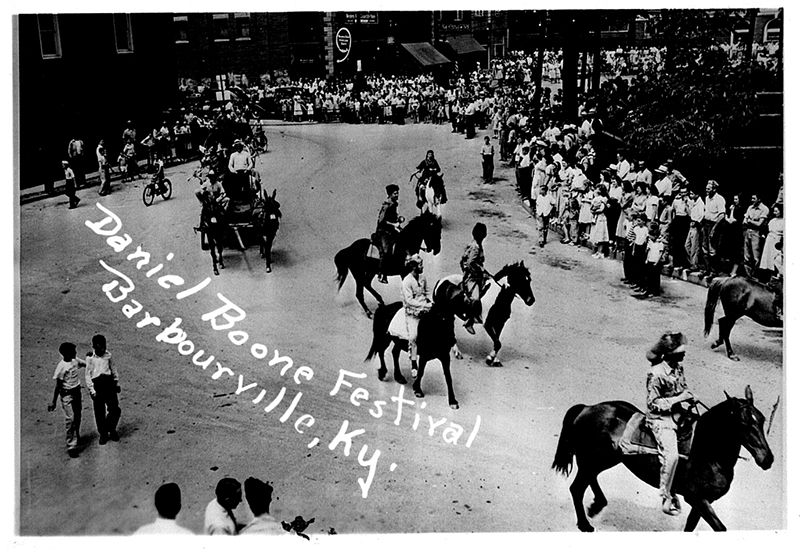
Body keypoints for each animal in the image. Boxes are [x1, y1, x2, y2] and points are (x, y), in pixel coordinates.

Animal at [552, 386, 772, 532]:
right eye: (744, 423)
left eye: (762, 420)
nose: (767, 459)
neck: (707, 452)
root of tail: (587, 408)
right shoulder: (697, 499)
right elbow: (720, 528)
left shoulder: (703, 502)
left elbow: (690, 527)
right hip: (594, 459)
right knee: (577, 488)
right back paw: (585, 524)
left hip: (603, 460)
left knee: (590, 479)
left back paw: (597, 504)